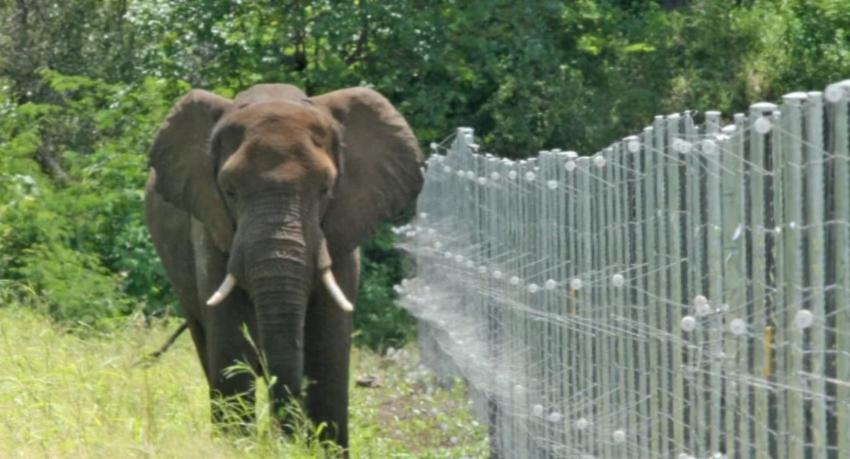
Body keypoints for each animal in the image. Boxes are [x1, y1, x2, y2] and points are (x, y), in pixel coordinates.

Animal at [144, 83, 423, 449]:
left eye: (325, 189)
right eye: (229, 191)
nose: (284, 440)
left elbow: (328, 350)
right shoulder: (209, 226)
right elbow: (232, 346)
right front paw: (238, 448)